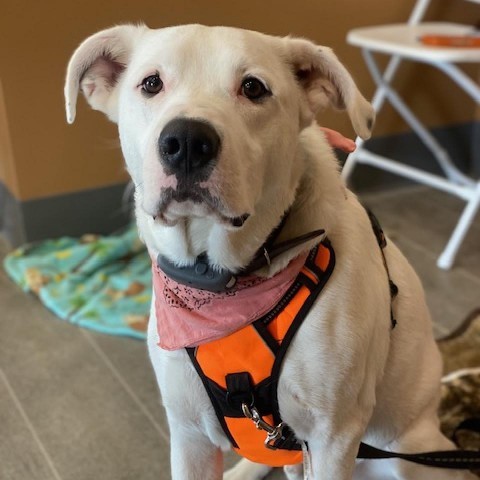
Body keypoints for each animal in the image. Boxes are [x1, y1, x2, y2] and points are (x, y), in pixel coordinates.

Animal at [63, 24, 476, 478]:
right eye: (151, 83)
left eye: (253, 88)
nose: (186, 141)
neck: (220, 283)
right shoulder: (188, 434)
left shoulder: (334, 437)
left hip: (406, 455)